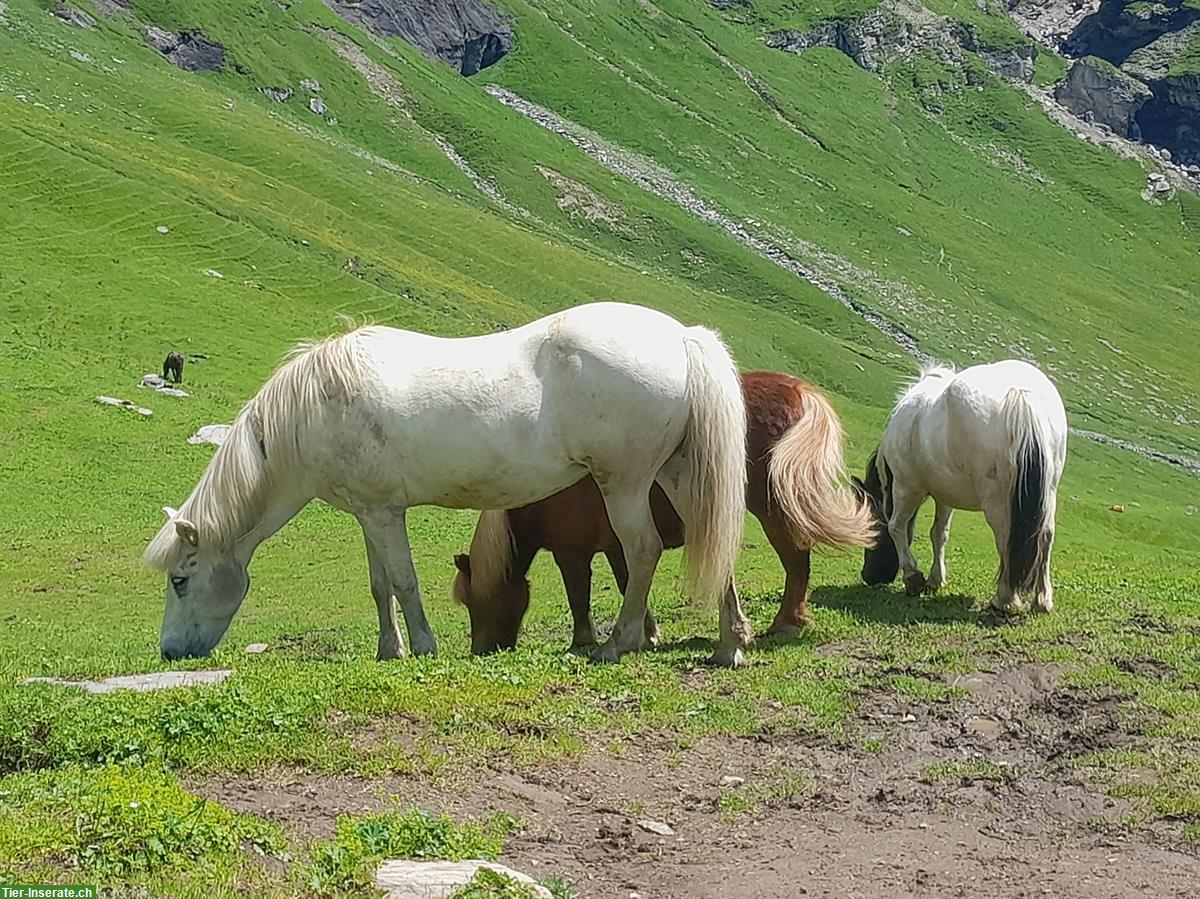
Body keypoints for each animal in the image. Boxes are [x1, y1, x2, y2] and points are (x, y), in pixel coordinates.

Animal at [147, 301, 748, 667]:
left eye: (181, 579)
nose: (170, 652)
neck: (316, 406)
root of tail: (681, 337)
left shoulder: (386, 515)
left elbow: (405, 582)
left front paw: (423, 646)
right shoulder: (370, 514)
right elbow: (380, 586)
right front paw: (389, 650)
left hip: (624, 482)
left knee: (643, 549)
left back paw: (617, 644)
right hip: (676, 473)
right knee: (712, 537)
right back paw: (731, 643)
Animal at [451, 367, 873, 657]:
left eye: (474, 602)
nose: (482, 651)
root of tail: (797, 389)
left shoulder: (573, 553)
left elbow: (580, 596)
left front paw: (588, 641)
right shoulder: (613, 545)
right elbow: (629, 583)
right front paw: (647, 633)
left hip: (771, 506)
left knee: (796, 558)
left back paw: (786, 622)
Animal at [854, 360, 1070, 614]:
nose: (869, 576)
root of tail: (1020, 397)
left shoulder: (906, 487)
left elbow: (896, 526)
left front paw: (913, 577)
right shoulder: (945, 495)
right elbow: (939, 533)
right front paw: (935, 579)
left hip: (996, 500)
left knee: (1006, 539)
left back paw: (1004, 599)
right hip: (1048, 494)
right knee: (1045, 535)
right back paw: (1042, 600)